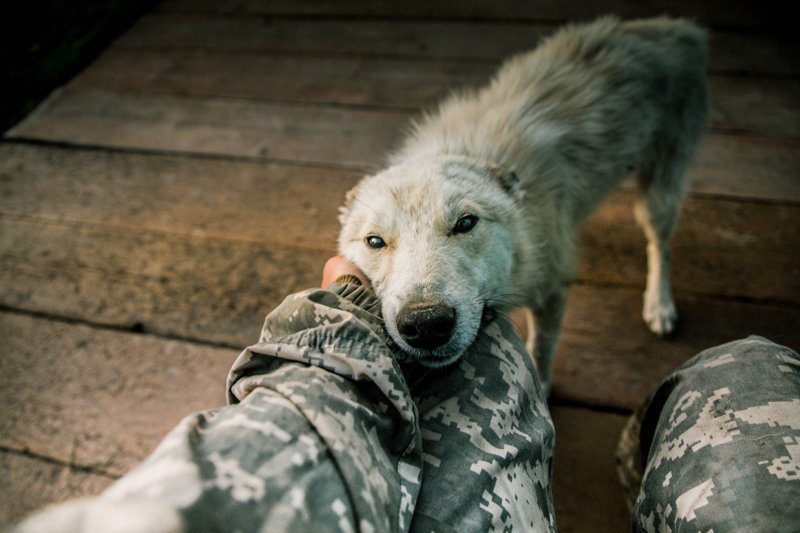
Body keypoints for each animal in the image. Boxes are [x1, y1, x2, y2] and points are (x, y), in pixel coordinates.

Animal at [336, 13, 708, 386]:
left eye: (466, 223)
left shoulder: (553, 288)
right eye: (375, 241)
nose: (426, 324)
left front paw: (540, 387)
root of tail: (674, 28)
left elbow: (541, 351)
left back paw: (659, 306)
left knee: (660, 245)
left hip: (660, 193)